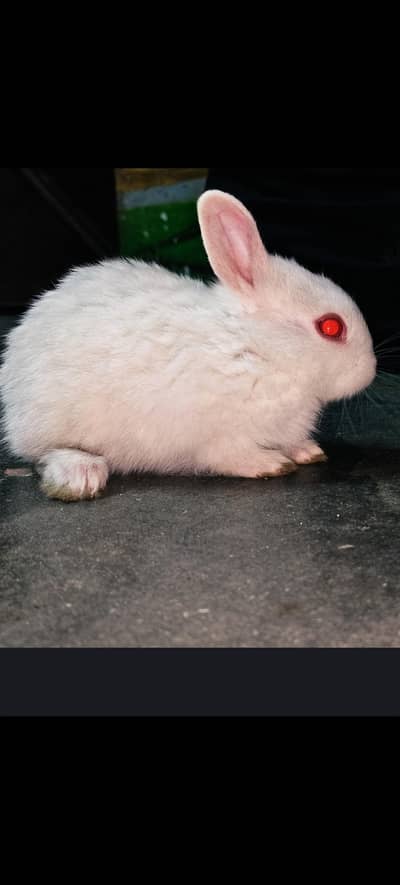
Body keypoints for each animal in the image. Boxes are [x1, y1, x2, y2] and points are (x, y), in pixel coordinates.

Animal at [0, 190, 376, 502]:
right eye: (331, 327)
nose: (371, 370)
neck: (257, 348)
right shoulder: (217, 435)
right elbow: (229, 455)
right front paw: (270, 464)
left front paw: (308, 451)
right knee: (44, 452)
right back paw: (82, 474)